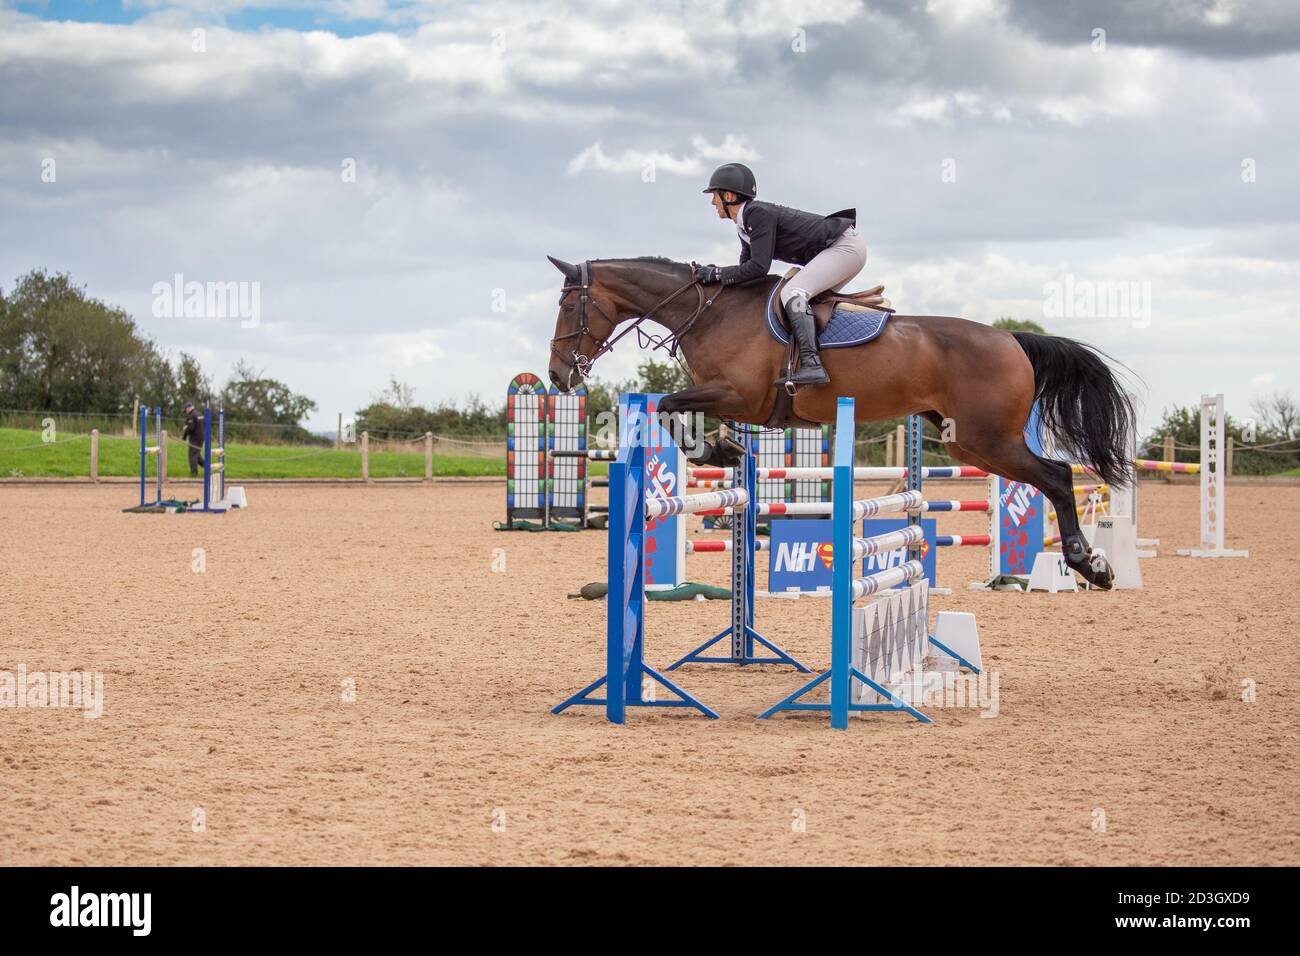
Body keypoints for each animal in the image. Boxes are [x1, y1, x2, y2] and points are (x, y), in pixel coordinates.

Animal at [543, 254, 1133, 590]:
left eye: (569, 307)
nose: (556, 374)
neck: (709, 311)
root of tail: (1012, 338)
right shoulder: (733, 401)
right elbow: (676, 410)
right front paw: (726, 452)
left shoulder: (739, 395)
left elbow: (668, 404)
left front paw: (717, 452)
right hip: (967, 443)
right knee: (1051, 475)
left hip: (988, 438)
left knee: (1057, 476)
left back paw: (1091, 564)